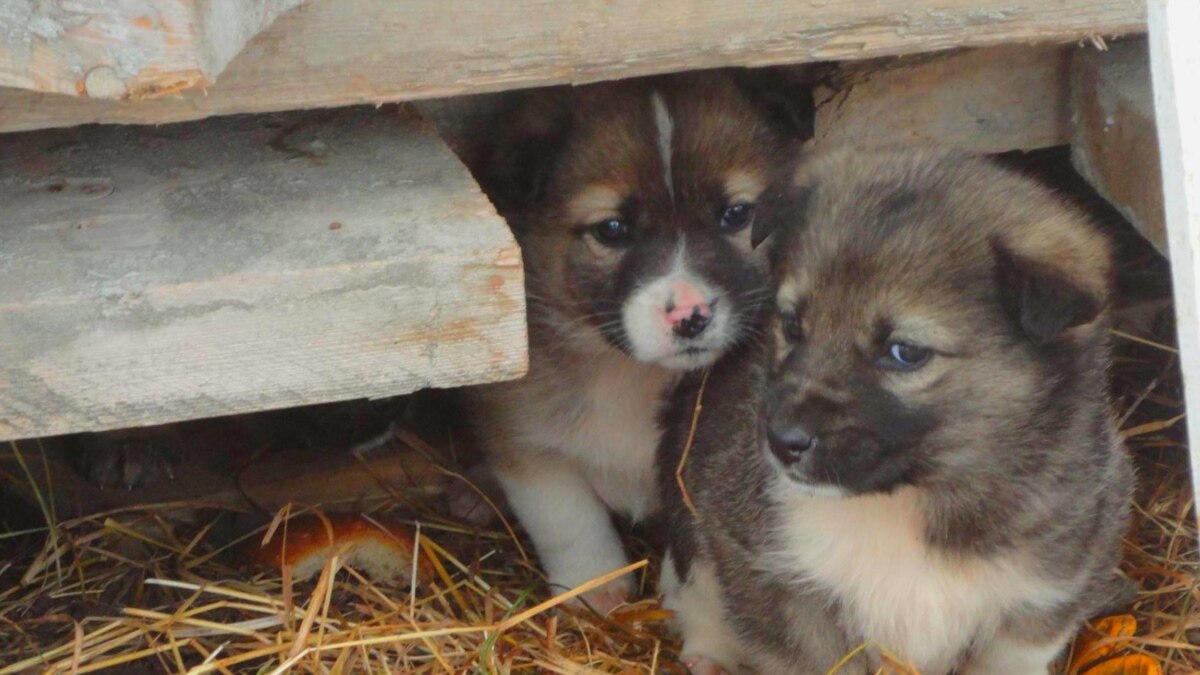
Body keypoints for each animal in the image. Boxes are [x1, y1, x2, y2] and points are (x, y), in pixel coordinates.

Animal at [463, 73, 801, 610]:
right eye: (612, 229)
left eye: (735, 214)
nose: (690, 317)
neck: (633, 375)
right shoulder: (522, 435)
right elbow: (567, 518)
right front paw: (594, 588)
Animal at [657, 147, 1132, 672]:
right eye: (792, 325)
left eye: (905, 352)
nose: (780, 442)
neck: (908, 502)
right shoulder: (772, 580)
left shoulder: (1042, 598)